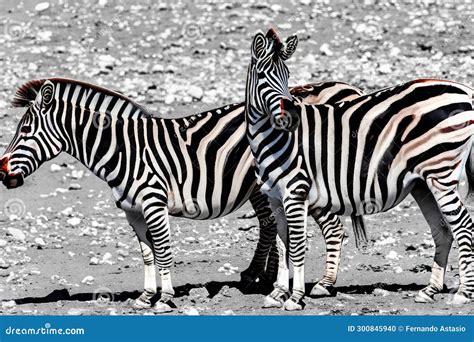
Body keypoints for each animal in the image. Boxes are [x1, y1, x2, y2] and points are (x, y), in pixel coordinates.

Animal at [0, 76, 366, 312]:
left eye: (25, 131)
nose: (2, 173)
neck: (125, 149)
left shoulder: (154, 203)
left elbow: (163, 252)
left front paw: (164, 298)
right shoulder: (132, 210)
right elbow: (147, 255)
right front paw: (146, 296)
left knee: (333, 227)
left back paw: (324, 284)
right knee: (272, 225)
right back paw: (261, 277)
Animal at [244, 30, 474, 312]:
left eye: (287, 75)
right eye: (263, 75)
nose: (290, 118)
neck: (271, 140)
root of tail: (464, 90)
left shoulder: (295, 192)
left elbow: (296, 245)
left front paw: (295, 297)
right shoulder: (275, 198)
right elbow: (282, 242)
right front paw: (278, 292)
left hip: (441, 173)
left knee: (464, 226)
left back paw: (463, 292)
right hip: (423, 183)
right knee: (443, 229)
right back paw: (430, 290)